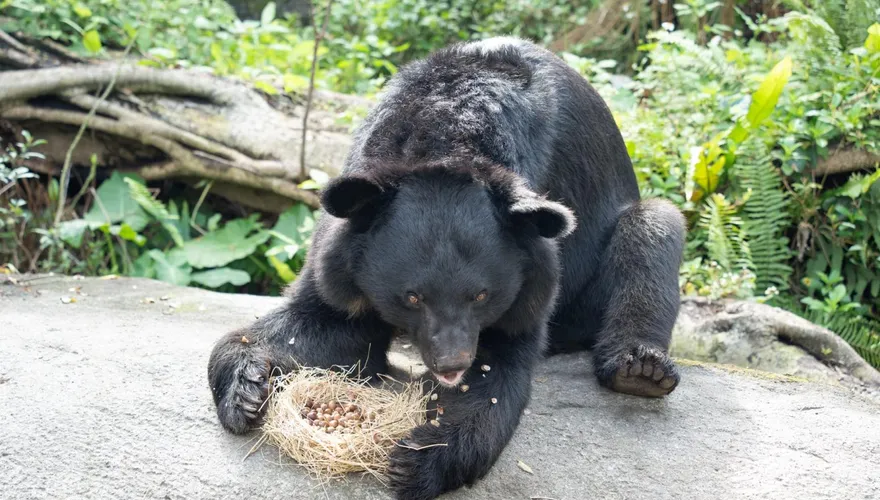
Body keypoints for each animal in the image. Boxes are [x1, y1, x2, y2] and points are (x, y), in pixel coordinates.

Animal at [207, 36, 686, 500]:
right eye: (412, 297)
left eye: (482, 295)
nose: (452, 364)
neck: (445, 136)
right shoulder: (345, 259)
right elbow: (327, 321)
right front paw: (245, 387)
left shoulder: (533, 276)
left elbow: (500, 367)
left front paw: (418, 458)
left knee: (653, 230)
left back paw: (641, 371)